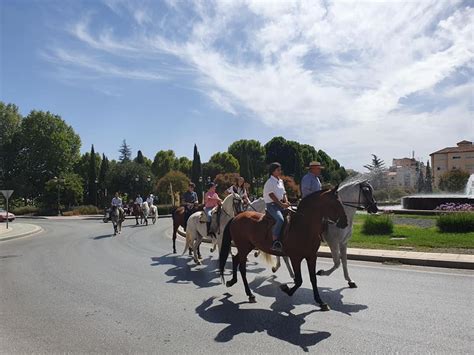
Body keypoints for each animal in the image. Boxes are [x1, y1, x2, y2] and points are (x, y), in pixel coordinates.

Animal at [218, 186, 348, 312]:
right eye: (335, 204)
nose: (345, 222)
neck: (304, 225)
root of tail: (236, 217)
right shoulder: (295, 258)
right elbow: (299, 280)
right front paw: (286, 289)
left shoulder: (311, 257)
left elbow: (313, 279)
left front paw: (320, 302)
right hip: (243, 247)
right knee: (242, 268)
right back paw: (249, 294)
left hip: (247, 246)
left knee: (235, 259)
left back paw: (232, 281)